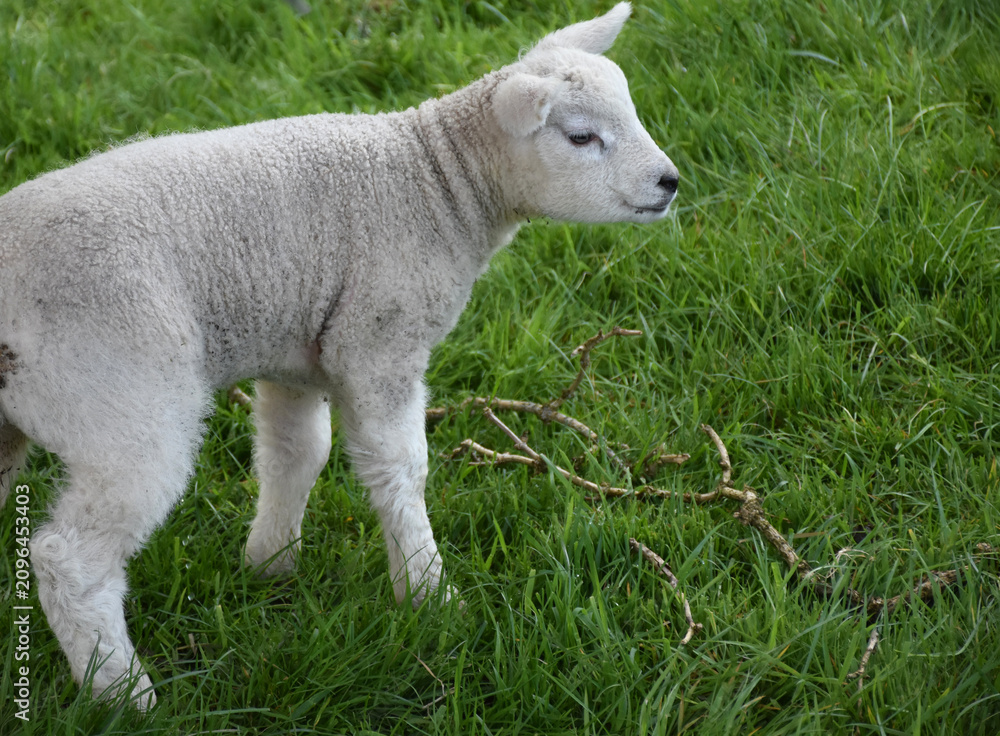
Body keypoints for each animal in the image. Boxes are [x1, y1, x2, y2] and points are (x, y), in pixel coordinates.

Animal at [0, 2, 677, 709]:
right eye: (580, 137)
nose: (671, 182)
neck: (437, 182)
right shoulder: (380, 338)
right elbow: (401, 470)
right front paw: (429, 597)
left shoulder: (293, 349)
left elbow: (295, 455)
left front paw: (270, 565)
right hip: (122, 394)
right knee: (69, 558)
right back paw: (124, 695)